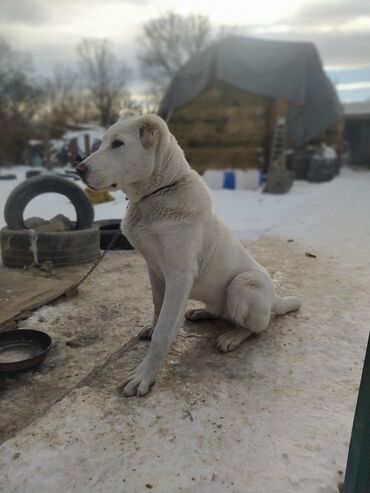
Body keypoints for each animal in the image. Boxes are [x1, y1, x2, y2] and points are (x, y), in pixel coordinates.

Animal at [77, 113, 300, 394]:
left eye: (118, 144)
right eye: (103, 142)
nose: (78, 169)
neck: (158, 194)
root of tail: (275, 299)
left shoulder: (180, 275)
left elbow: (164, 332)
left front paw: (144, 376)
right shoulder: (154, 268)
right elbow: (158, 307)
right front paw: (151, 329)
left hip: (244, 285)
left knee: (259, 326)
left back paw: (233, 336)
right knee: (222, 313)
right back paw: (201, 313)